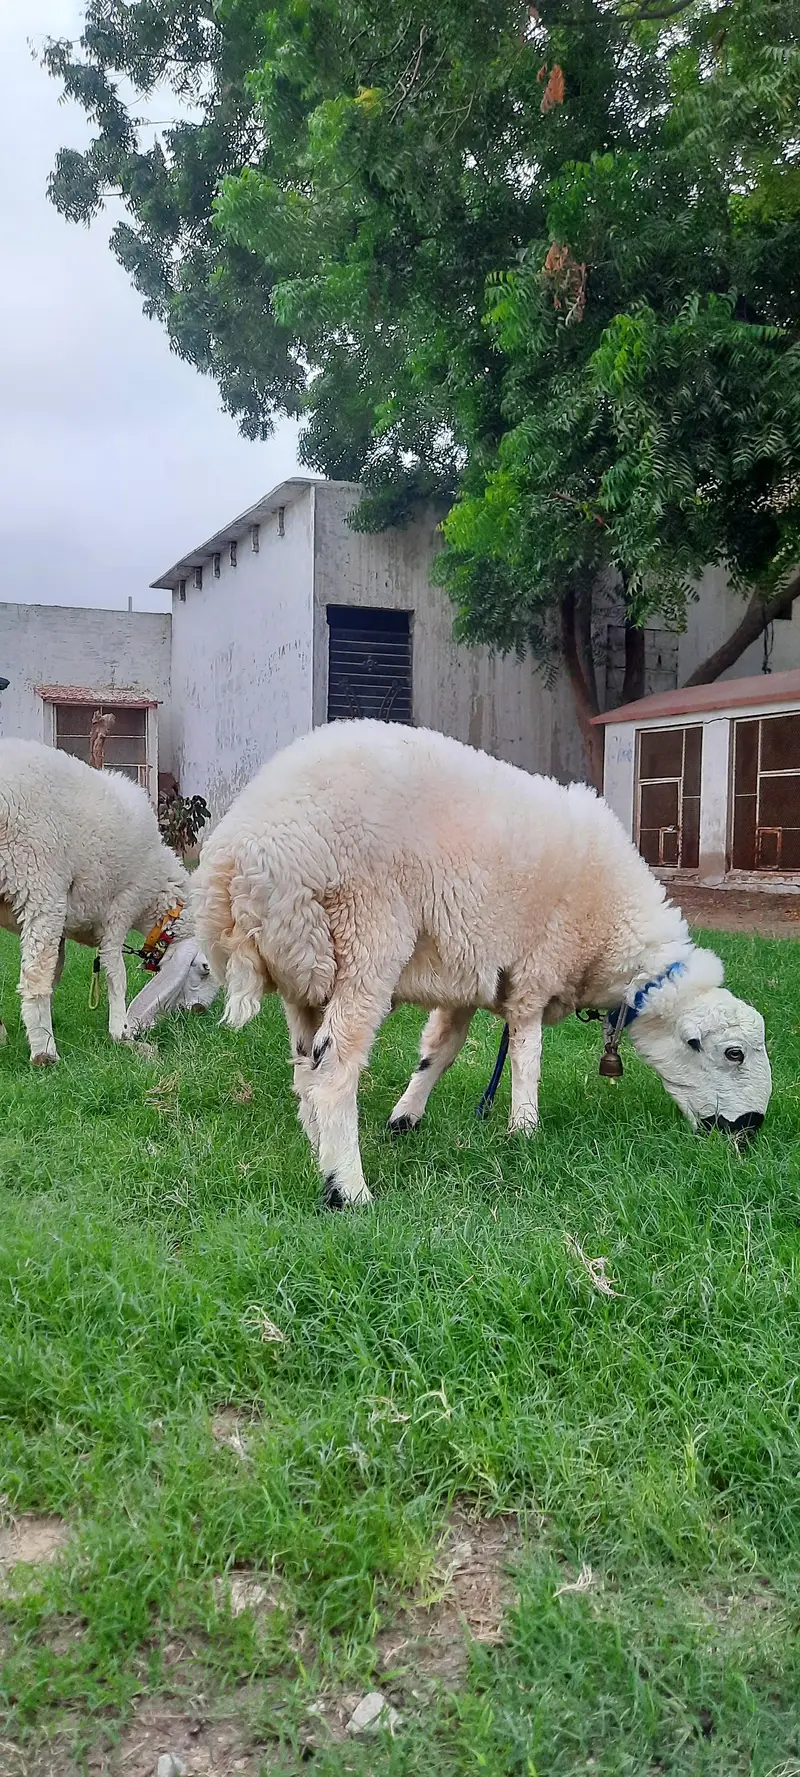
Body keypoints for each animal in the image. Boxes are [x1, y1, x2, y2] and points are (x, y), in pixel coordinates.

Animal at [0, 739, 217, 1063]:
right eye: (204, 970)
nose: (199, 1011)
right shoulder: (122, 908)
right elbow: (116, 973)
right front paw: (122, 1033)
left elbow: (57, 970)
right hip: (38, 879)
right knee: (34, 976)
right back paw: (45, 1054)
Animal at [192, 719, 773, 1208]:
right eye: (734, 1054)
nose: (750, 1129)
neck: (614, 939)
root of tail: (241, 859)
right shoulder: (537, 970)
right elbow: (526, 1055)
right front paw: (525, 1129)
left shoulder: (469, 976)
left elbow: (440, 1051)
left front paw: (405, 1118)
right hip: (366, 937)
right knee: (334, 1068)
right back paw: (346, 1188)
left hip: (306, 971)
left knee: (305, 1067)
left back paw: (319, 1147)